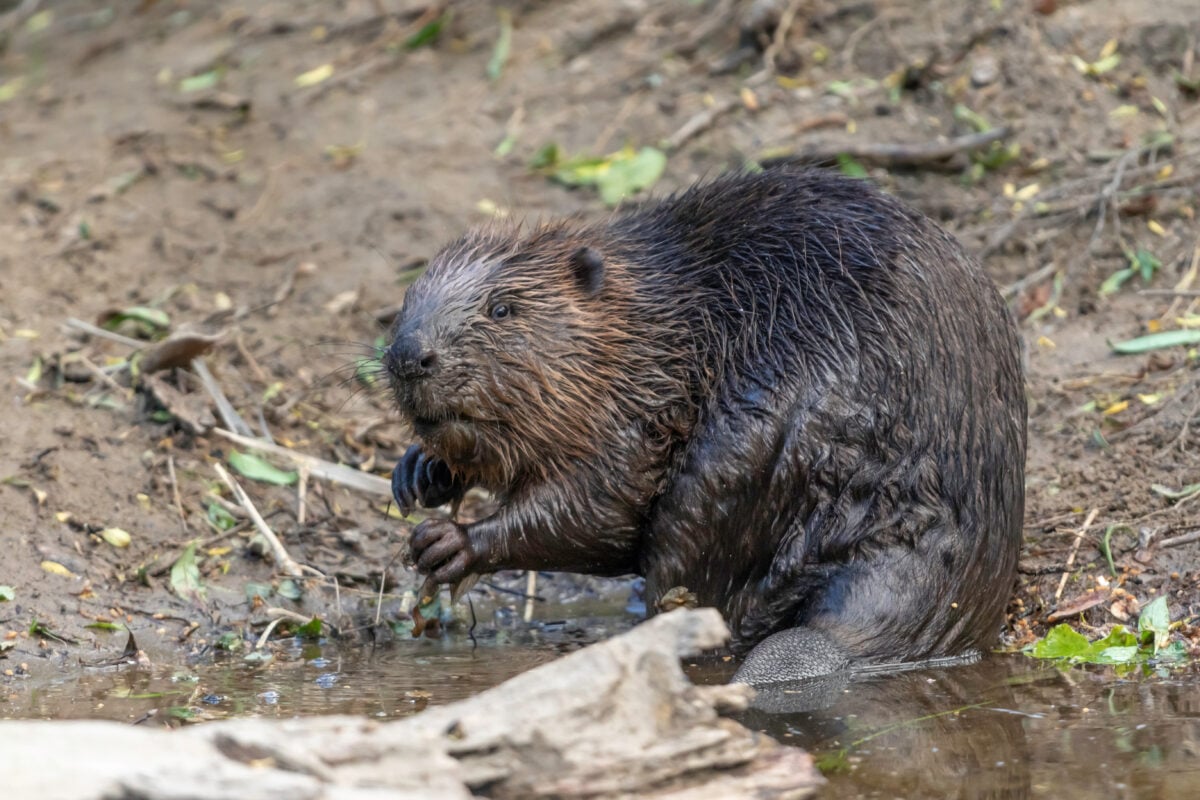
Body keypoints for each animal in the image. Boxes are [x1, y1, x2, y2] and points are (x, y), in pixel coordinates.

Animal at [384, 167, 1022, 681]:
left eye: (502, 309)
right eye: (406, 301)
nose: (409, 356)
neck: (660, 317)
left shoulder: (643, 406)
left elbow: (604, 507)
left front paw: (448, 544)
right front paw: (418, 473)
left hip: (749, 452)